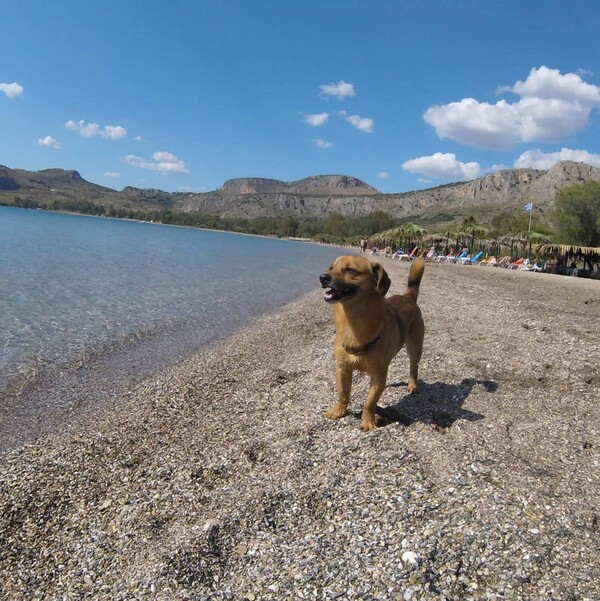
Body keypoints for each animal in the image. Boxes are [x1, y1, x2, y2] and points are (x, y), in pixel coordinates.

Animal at [318, 255, 426, 428]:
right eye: (331, 268)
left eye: (350, 270)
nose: (322, 277)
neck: (353, 322)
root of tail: (408, 297)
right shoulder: (342, 369)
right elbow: (343, 394)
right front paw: (338, 411)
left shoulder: (378, 375)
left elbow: (370, 402)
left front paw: (368, 421)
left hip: (415, 347)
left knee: (413, 366)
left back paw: (413, 384)